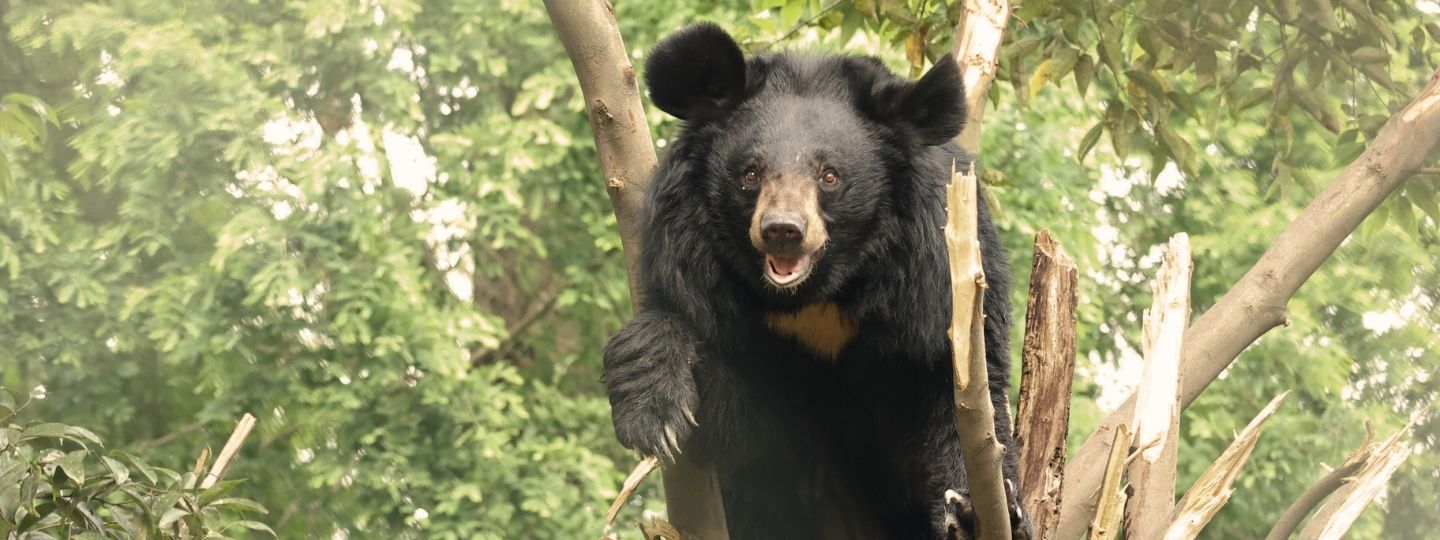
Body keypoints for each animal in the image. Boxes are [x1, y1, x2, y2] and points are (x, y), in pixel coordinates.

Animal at [602, 23, 1031, 540]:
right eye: (751, 173)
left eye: (830, 176)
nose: (783, 230)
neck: (815, 297)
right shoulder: (695, 273)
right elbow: (747, 416)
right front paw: (655, 409)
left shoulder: (930, 289)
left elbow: (955, 400)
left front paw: (974, 511)